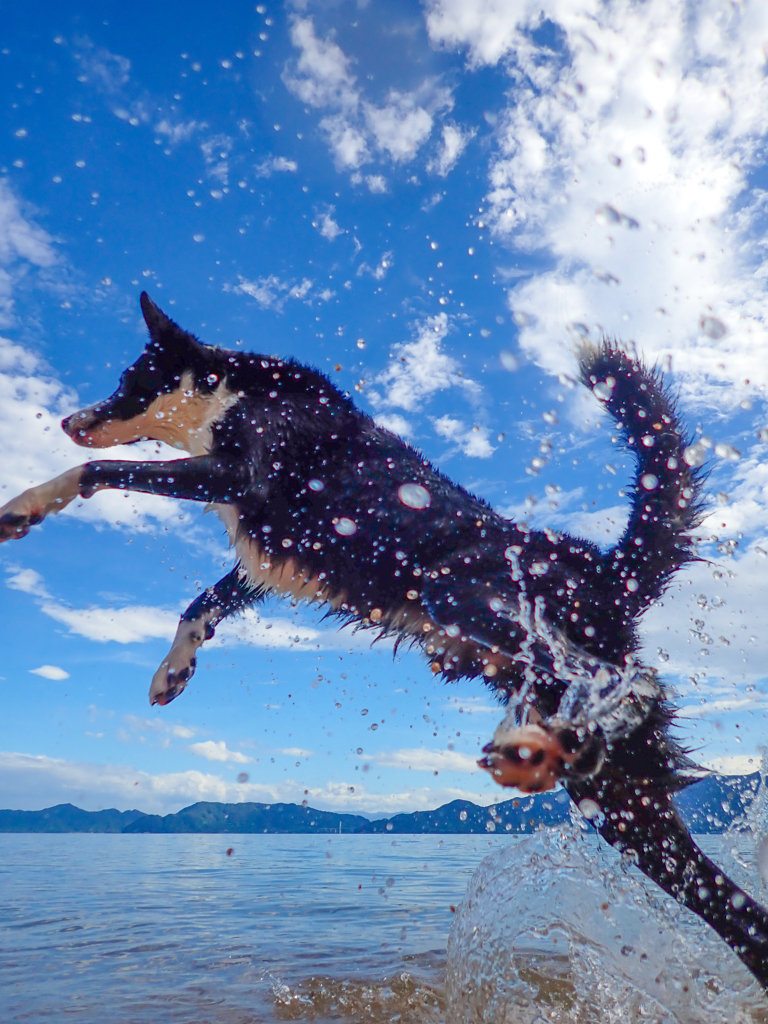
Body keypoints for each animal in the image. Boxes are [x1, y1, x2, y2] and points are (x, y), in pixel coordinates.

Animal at [4, 290, 768, 991]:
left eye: (130, 378)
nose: (68, 420)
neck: (242, 391)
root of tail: (607, 569)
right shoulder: (268, 553)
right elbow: (204, 603)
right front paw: (173, 670)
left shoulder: (240, 474)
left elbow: (99, 474)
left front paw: (26, 505)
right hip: (623, 804)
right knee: (736, 912)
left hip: (462, 596)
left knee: (614, 679)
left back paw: (548, 734)